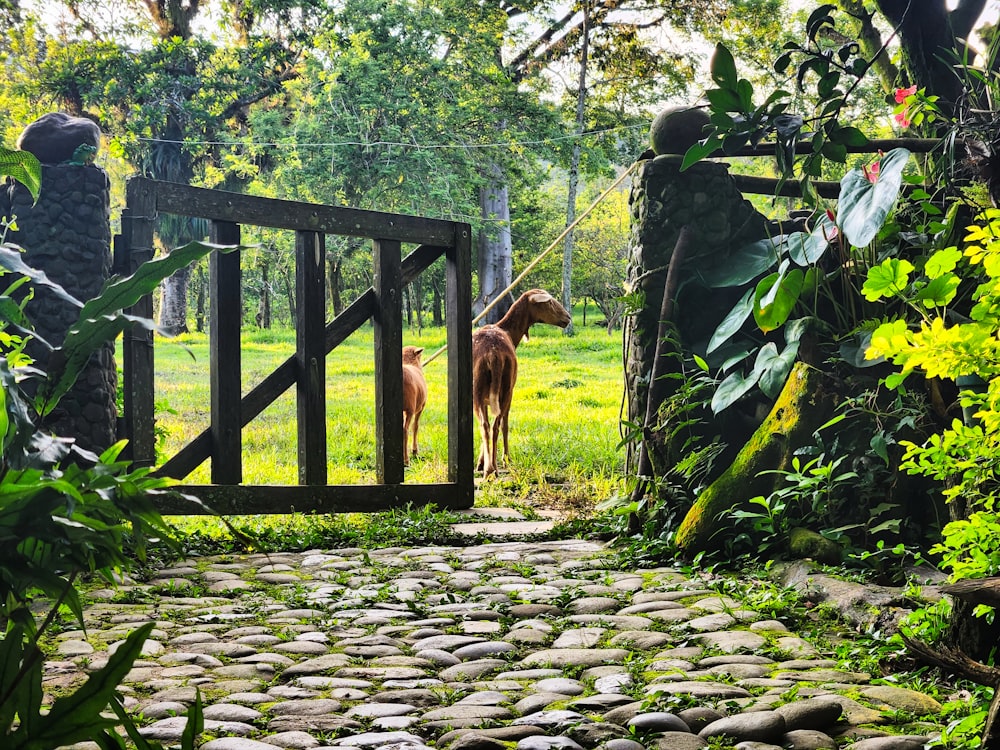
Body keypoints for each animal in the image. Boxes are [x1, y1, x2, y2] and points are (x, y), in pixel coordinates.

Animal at [470, 290, 568, 478]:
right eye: (549, 302)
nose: (568, 318)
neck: (508, 332)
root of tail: (492, 355)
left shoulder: (485, 398)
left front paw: (480, 462)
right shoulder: (510, 391)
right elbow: (505, 424)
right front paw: (505, 459)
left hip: (477, 389)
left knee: (485, 426)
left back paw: (488, 469)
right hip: (506, 388)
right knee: (497, 425)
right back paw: (494, 467)